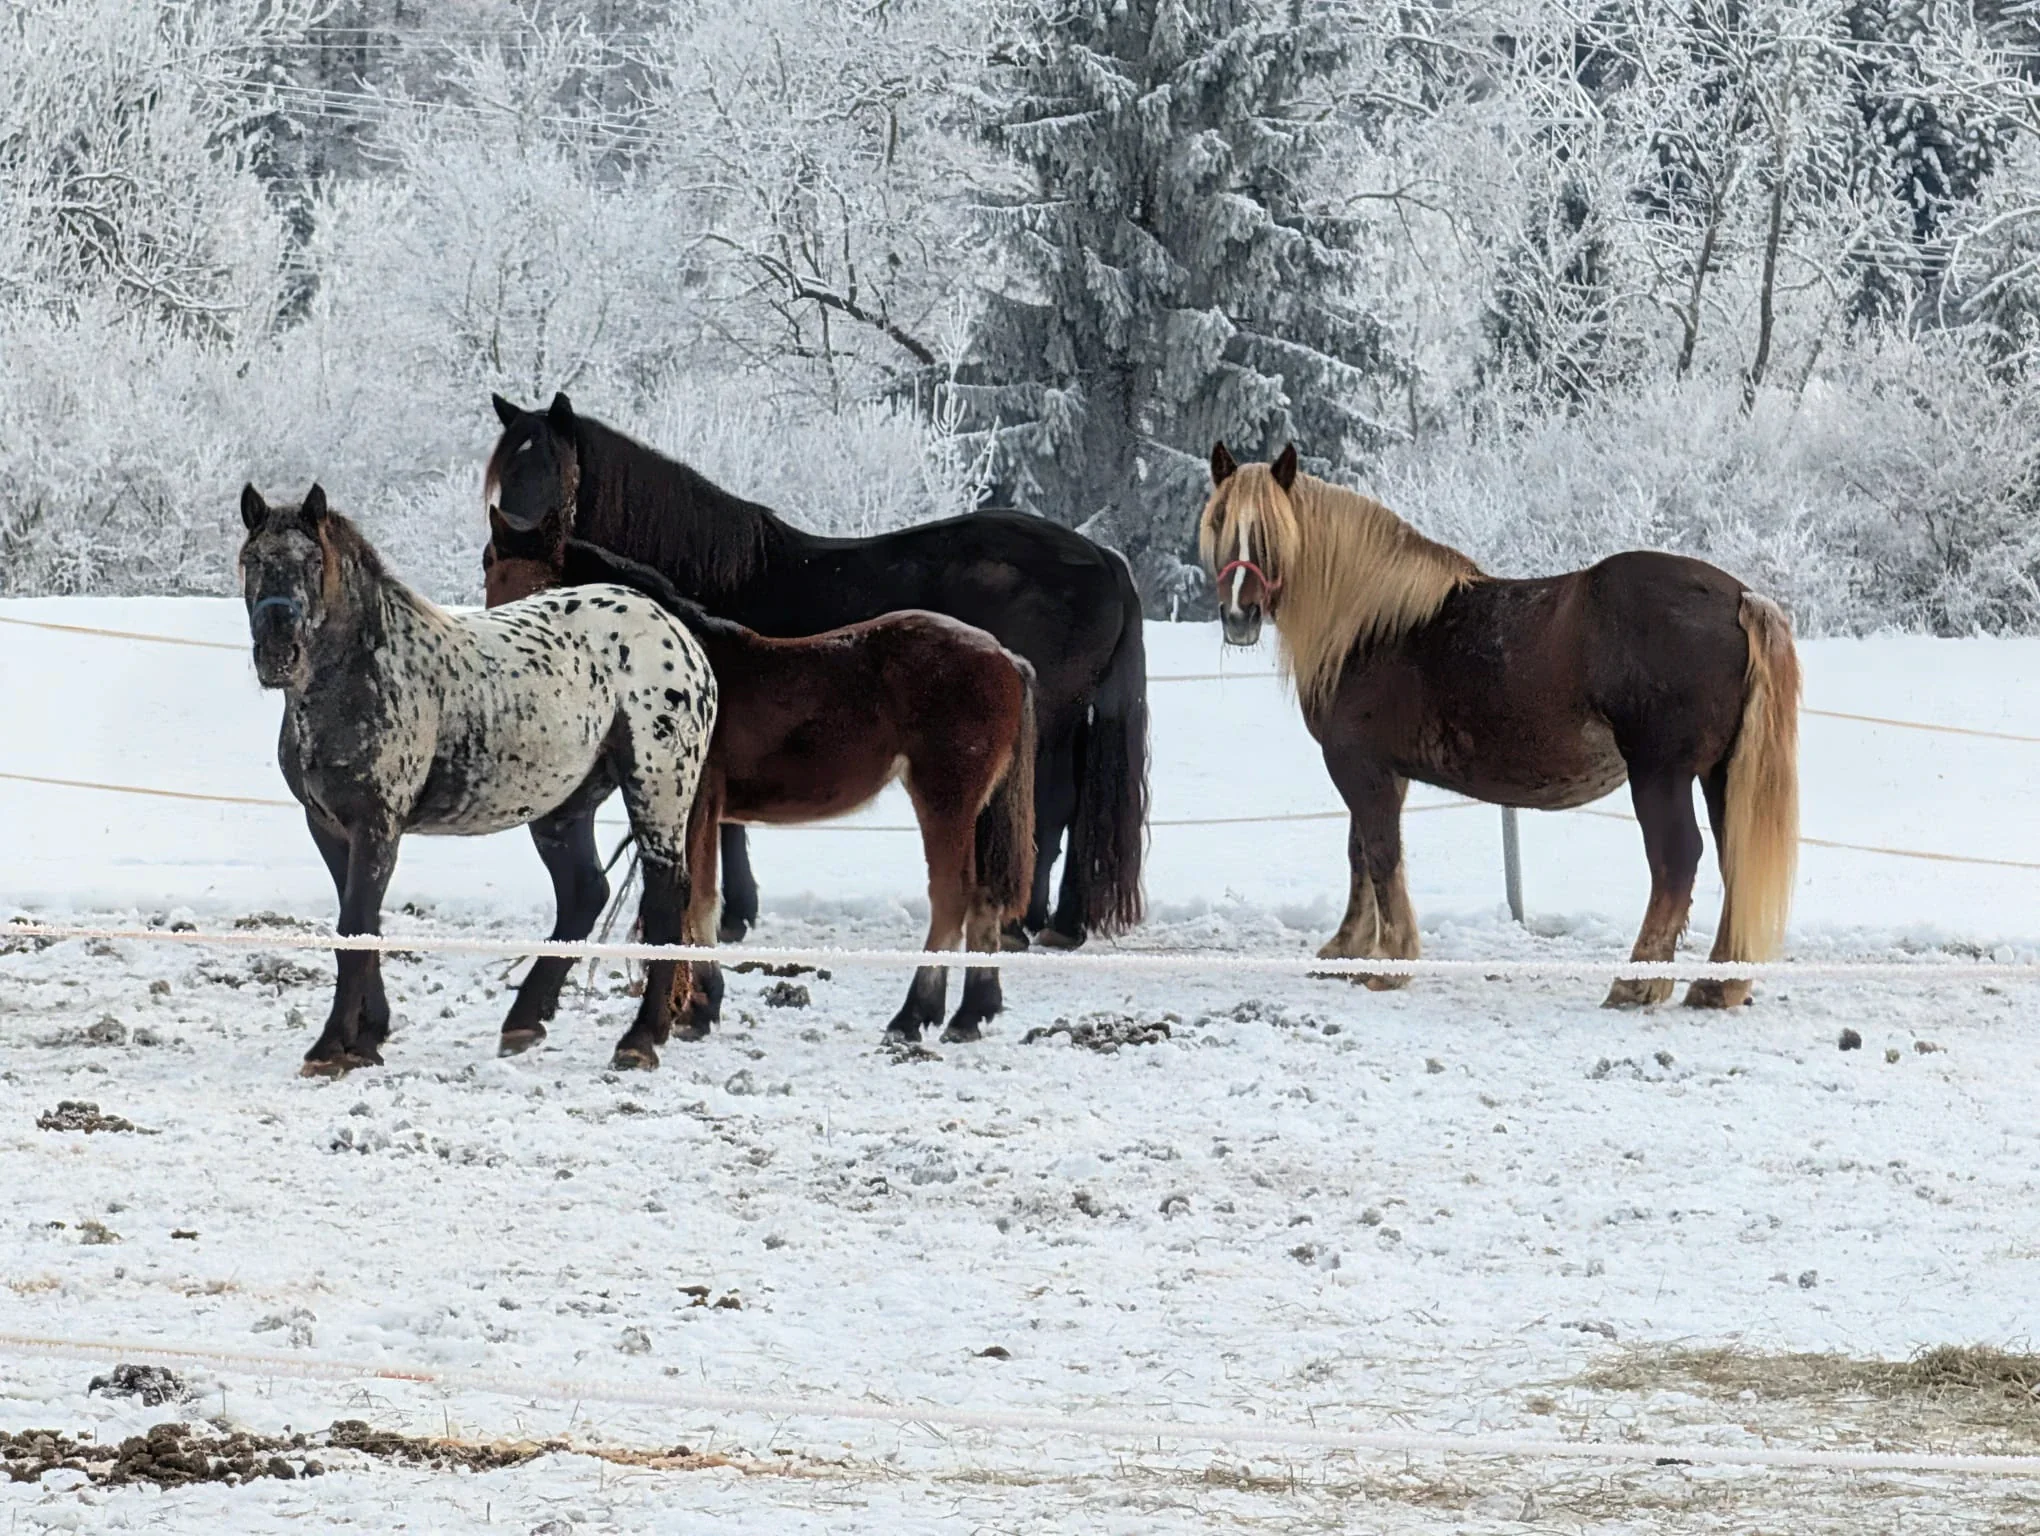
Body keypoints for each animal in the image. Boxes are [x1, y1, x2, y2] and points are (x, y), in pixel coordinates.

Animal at [237, 484, 717, 1073]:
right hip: (564, 807)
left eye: (311, 563)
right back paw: (524, 1023)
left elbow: (355, 925)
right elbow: (363, 923)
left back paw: (640, 1039)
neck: (365, 671)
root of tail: (680, 637)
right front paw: (369, 1037)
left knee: (665, 897)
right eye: (252, 561)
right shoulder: (328, 826)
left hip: (658, 789)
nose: (277, 655)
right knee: (585, 894)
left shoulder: (377, 825)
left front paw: (331, 1047)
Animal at [482, 391, 1146, 950]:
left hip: (1054, 717)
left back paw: (1031, 922)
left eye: (550, 467)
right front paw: (736, 911)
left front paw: (730, 914)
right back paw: (1057, 920)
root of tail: (1102, 557)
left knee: (1051, 807)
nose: (513, 540)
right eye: (504, 471)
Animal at [483, 536, 1038, 1043]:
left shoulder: (698, 806)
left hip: (944, 798)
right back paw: (970, 1015)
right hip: (977, 810)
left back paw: (912, 1017)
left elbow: (699, 900)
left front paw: (696, 1010)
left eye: (532, 587)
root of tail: (1006, 658)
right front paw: (699, 1007)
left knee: (951, 897)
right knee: (985, 898)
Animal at [1198, 443, 1800, 1008]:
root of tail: (1740, 597)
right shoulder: (1383, 770)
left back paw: (1637, 985)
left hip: (1660, 774)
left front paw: (1389, 963)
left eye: (1271, 529)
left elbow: (1381, 853)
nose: (1239, 616)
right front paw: (1347, 950)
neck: (1370, 625)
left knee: (1676, 861)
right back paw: (1717, 987)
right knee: (1731, 857)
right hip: (1720, 774)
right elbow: (1362, 855)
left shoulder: (1357, 765)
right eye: (1220, 519)